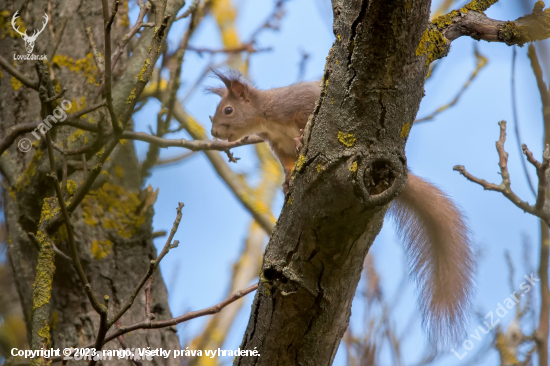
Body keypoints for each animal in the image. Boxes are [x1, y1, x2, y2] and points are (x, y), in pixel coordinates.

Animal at [207, 70, 474, 344]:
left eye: (228, 110)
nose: (214, 131)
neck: (267, 118)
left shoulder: (296, 105)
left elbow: (305, 118)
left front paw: (300, 138)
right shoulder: (277, 145)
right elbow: (288, 165)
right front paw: (287, 182)